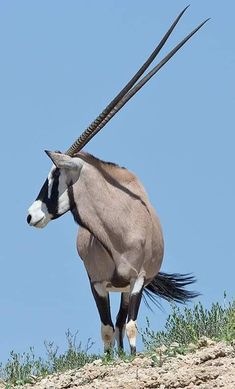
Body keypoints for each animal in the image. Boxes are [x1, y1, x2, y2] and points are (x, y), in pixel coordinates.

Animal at [26, 7, 208, 354]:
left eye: (55, 174)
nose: (31, 215)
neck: (116, 229)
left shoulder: (136, 281)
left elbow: (130, 327)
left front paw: (131, 360)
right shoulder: (97, 284)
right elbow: (107, 330)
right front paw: (111, 360)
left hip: (127, 289)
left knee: (125, 323)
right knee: (116, 326)